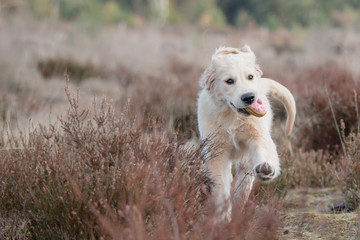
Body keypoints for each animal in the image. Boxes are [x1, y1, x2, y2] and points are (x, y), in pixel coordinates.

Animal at [197, 45, 296, 219]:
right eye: (229, 81)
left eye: (250, 77)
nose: (249, 97)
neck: (232, 116)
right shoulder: (216, 150)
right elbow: (220, 183)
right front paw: (222, 216)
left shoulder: (258, 134)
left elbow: (263, 148)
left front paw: (266, 168)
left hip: (246, 162)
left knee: (244, 181)